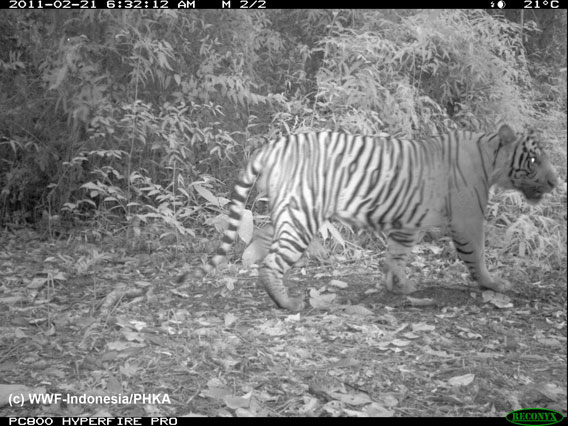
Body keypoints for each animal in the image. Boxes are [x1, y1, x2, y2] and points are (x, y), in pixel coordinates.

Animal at [175, 125, 556, 312]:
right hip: (301, 217)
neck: (490, 160)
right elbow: (477, 255)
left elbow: (396, 256)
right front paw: (494, 284)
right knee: (270, 263)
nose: (556, 182)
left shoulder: (407, 222)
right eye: (533, 160)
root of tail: (273, 145)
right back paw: (289, 304)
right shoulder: (467, 219)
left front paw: (398, 285)